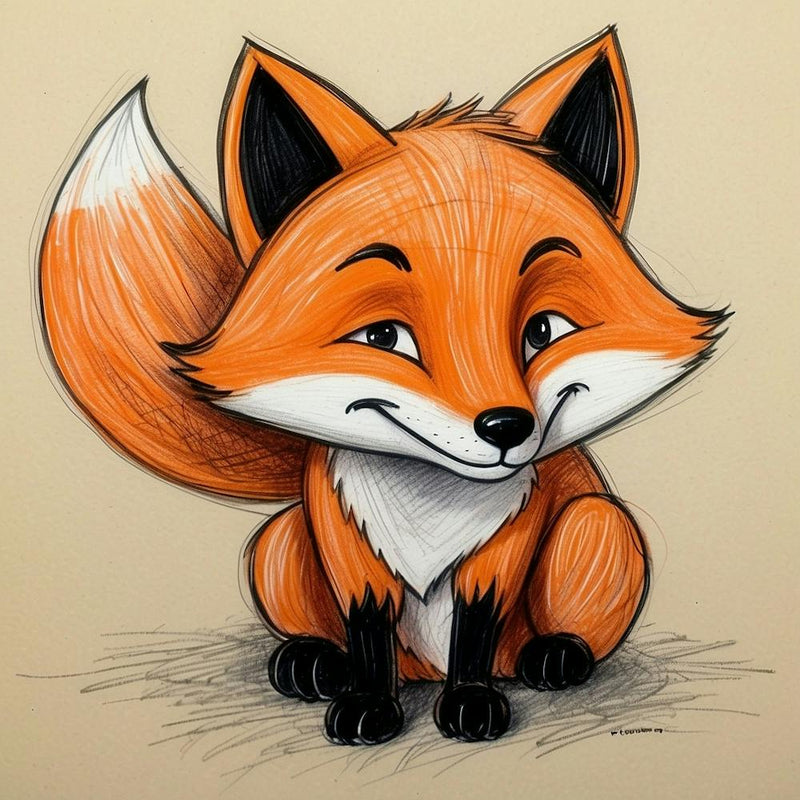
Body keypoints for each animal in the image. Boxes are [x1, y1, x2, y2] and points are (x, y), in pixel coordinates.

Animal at [38, 27, 728, 746]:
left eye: (543, 330)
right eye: (383, 337)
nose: (507, 428)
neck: (428, 509)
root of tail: (420, 670)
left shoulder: (505, 546)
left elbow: (476, 631)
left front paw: (471, 704)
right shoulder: (345, 544)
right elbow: (366, 630)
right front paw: (367, 705)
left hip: (596, 524)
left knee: (562, 625)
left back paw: (556, 654)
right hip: (279, 542)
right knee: (322, 627)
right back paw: (313, 662)